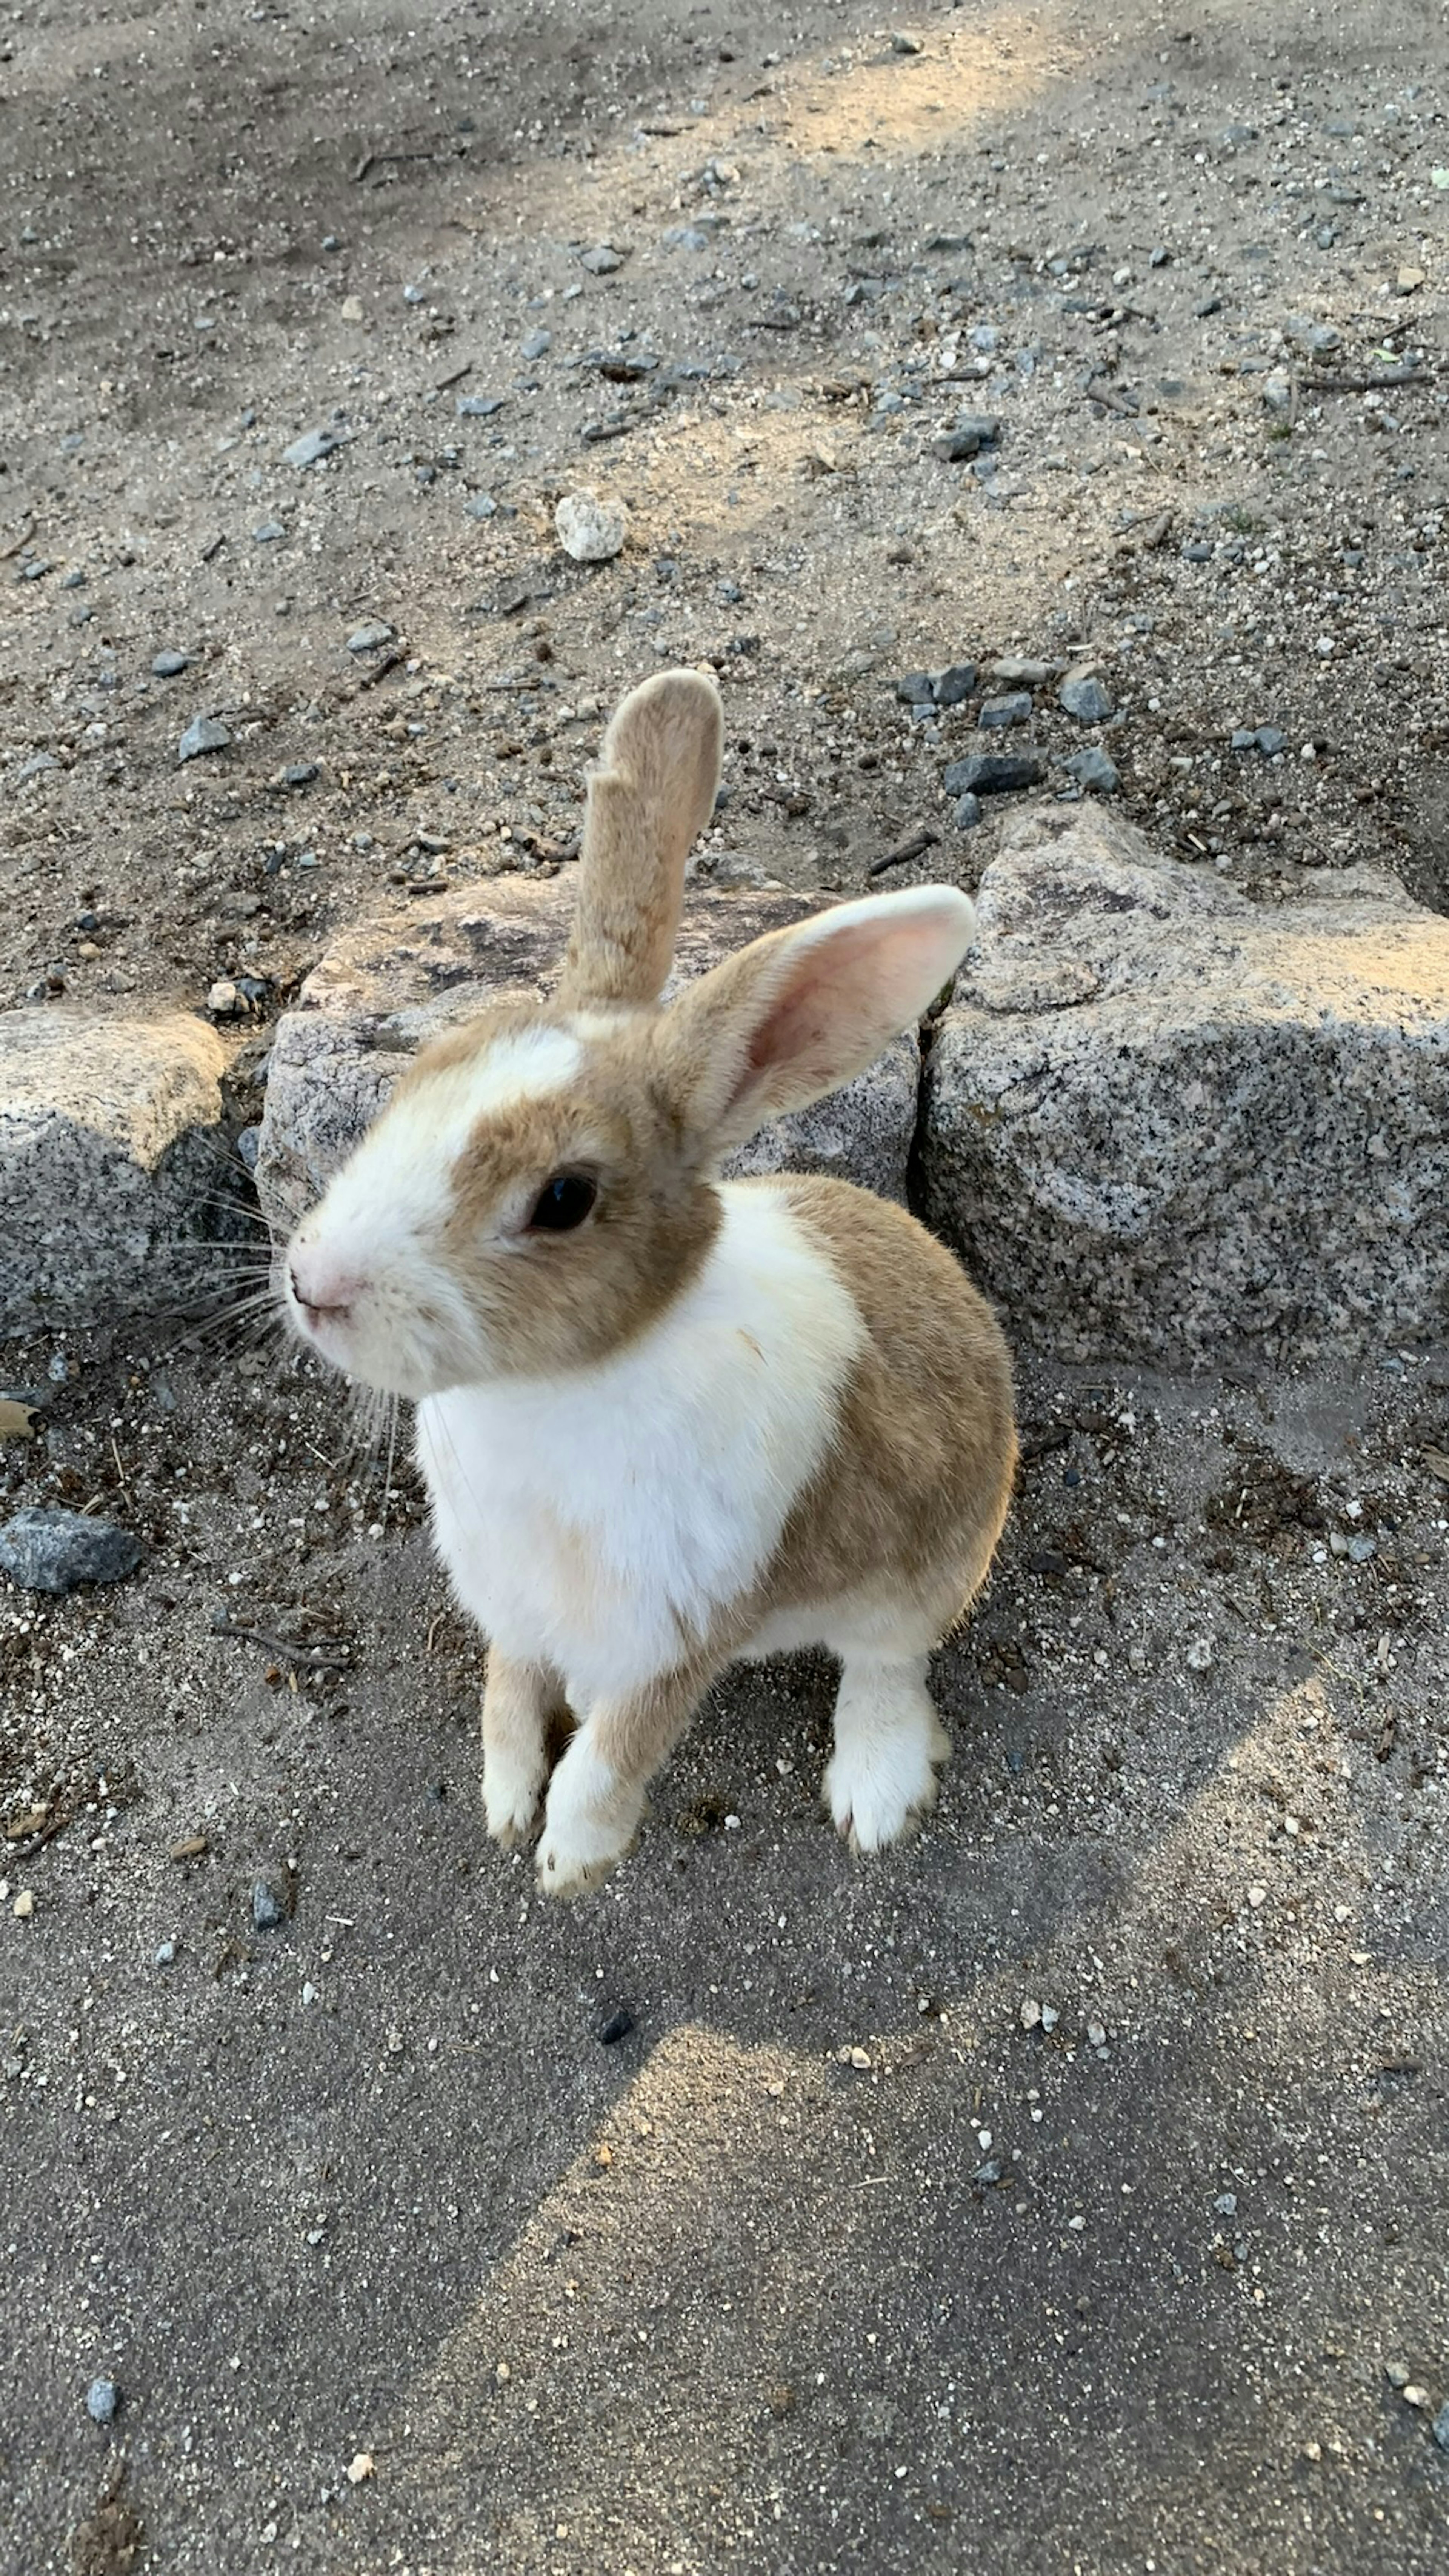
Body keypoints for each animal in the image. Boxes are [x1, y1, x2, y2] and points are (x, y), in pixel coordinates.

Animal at [282, 675, 1016, 1896]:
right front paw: (502, 1807)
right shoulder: (514, 1610)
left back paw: (875, 1796)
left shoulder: (678, 1628)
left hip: (925, 1570)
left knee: (887, 1663)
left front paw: (568, 1863)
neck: (555, 1390)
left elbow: (614, 1755)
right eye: (422, 1072)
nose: (310, 1281)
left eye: (563, 1199)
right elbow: (505, 1697)